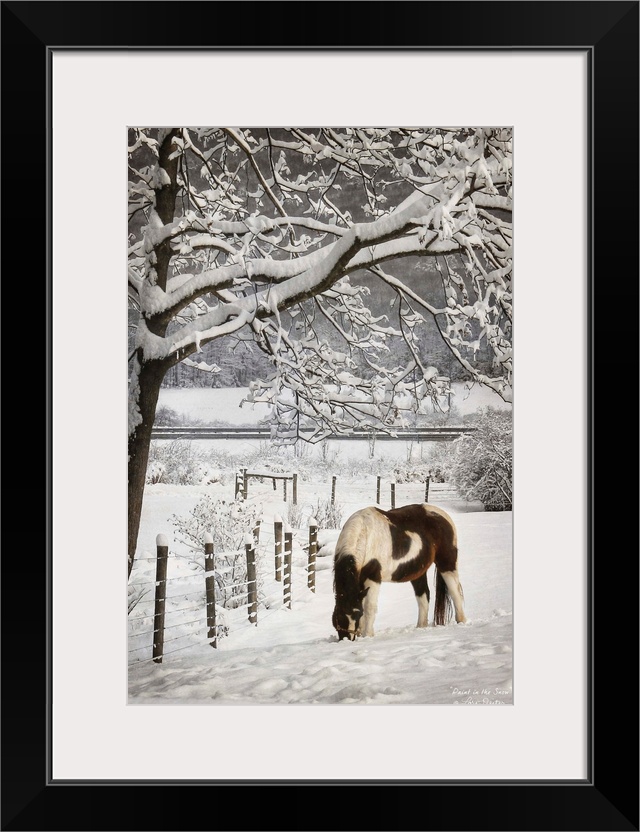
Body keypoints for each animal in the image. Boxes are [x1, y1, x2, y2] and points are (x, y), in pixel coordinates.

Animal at [336, 500, 464, 644]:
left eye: (357, 615)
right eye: (338, 615)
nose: (346, 639)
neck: (364, 535)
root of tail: (444, 516)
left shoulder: (373, 577)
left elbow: (369, 607)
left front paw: (367, 635)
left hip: (447, 564)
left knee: (455, 592)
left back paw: (462, 621)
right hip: (418, 573)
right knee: (424, 597)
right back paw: (421, 627)